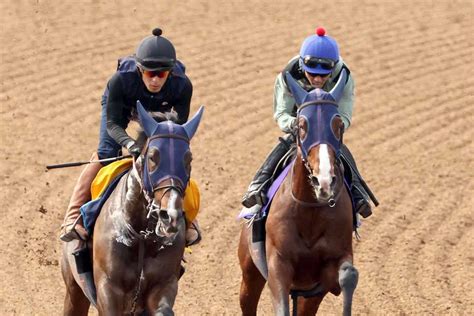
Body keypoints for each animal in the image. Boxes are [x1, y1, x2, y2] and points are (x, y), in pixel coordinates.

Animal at [60, 102, 202, 316]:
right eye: (152, 157)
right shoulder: (108, 288)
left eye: (188, 159)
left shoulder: (164, 285)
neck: (141, 237)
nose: (170, 215)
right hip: (73, 288)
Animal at [239, 69, 358, 316]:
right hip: (249, 273)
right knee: (248, 302)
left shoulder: (329, 268)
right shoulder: (278, 264)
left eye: (338, 125)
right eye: (302, 125)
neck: (309, 211)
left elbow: (348, 275)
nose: (324, 181)